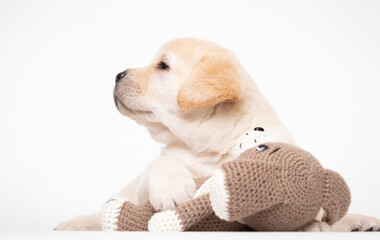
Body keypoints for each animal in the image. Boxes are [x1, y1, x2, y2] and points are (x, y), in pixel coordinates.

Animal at [56, 38, 380, 232]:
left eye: (163, 65)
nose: (117, 75)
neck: (212, 148)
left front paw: (308, 224)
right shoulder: (147, 183)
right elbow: (161, 163)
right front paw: (173, 189)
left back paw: (361, 221)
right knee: (101, 211)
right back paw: (74, 224)